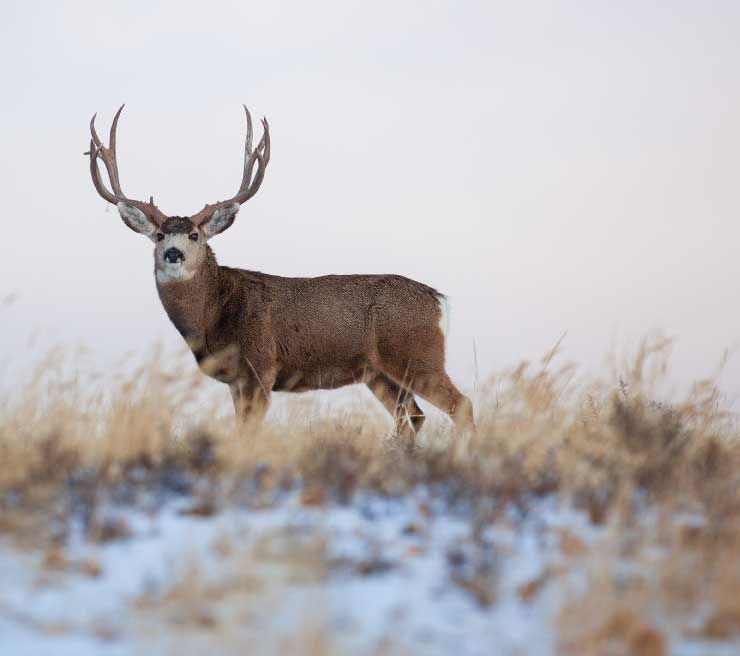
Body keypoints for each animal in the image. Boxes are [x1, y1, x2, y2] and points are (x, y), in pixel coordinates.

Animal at [86, 105, 474, 445]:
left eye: (195, 235)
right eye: (159, 235)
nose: (173, 253)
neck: (214, 314)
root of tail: (439, 300)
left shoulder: (261, 366)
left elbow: (249, 432)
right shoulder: (236, 381)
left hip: (418, 356)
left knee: (461, 406)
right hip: (380, 374)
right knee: (413, 418)